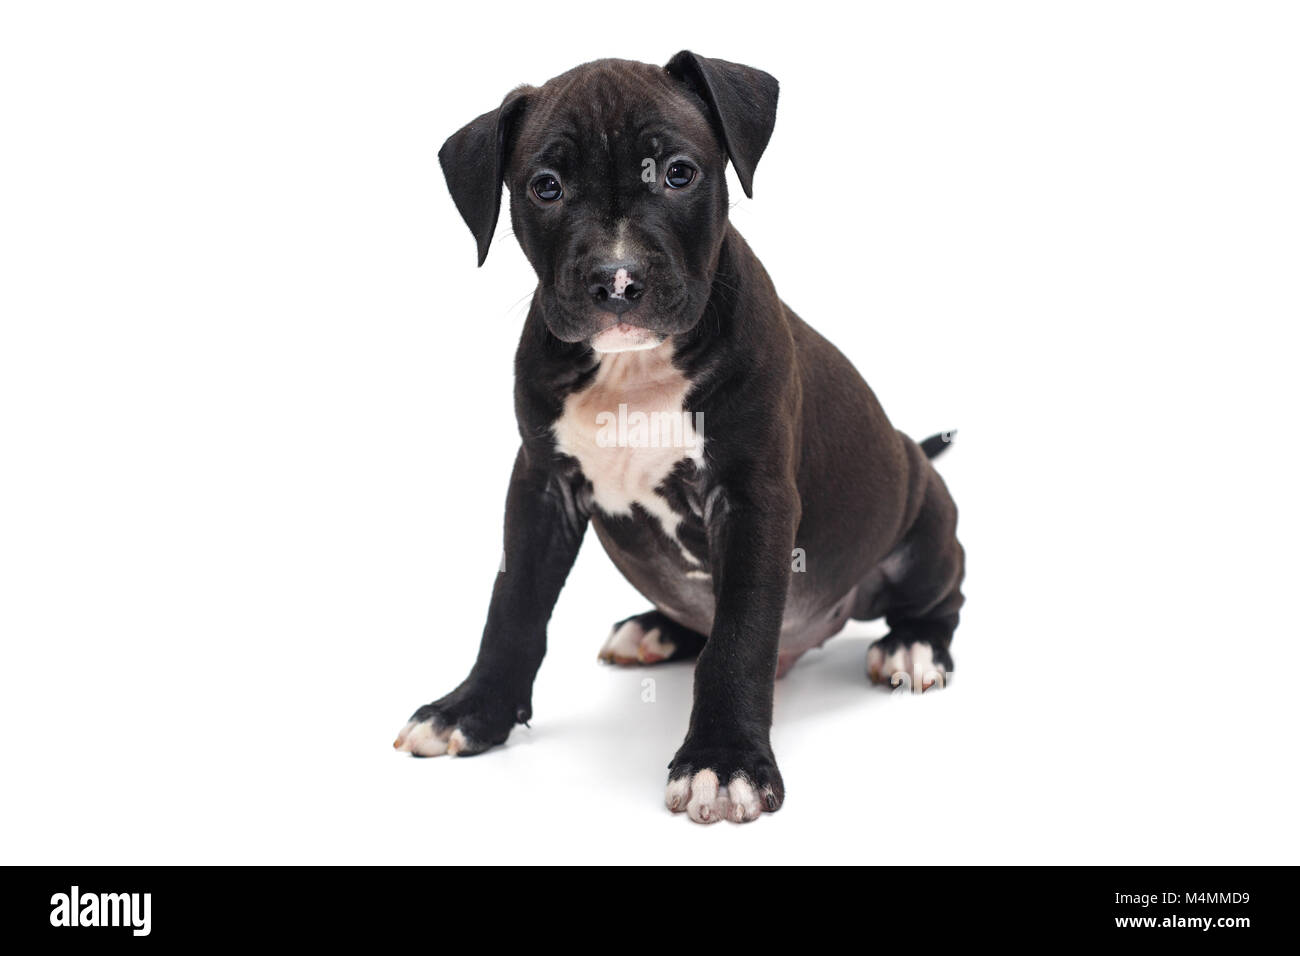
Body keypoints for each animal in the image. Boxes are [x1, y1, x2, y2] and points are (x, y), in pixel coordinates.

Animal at [395, 50, 967, 822]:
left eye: (678, 173)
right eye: (546, 188)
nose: (617, 279)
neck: (633, 368)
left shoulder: (753, 500)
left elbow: (740, 635)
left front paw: (723, 763)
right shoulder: (541, 486)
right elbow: (513, 605)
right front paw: (472, 710)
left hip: (926, 515)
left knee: (943, 596)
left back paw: (914, 646)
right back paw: (656, 627)